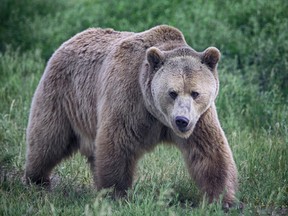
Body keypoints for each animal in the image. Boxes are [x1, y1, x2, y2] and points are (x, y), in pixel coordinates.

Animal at [24, 24, 237, 208]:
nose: (181, 121)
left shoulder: (200, 119)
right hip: (64, 96)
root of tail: (73, 38)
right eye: (172, 93)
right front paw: (117, 195)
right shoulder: (129, 99)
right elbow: (117, 144)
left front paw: (223, 200)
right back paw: (37, 179)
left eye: (195, 93)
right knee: (48, 139)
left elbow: (209, 152)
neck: (157, 114)